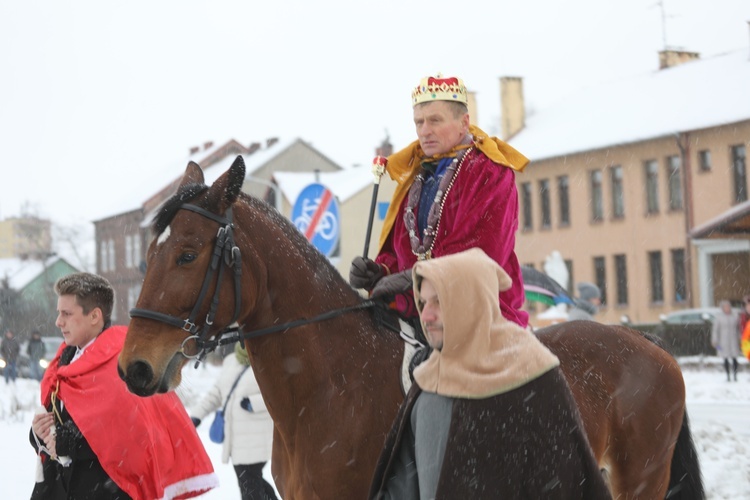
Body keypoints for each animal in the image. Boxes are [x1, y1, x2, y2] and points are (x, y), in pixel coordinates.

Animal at [117, 157, 704, 500]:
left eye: (188, 254)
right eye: (150, 254)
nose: (134, 368)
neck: (331, 386)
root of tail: (647, 343)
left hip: (640, 479)